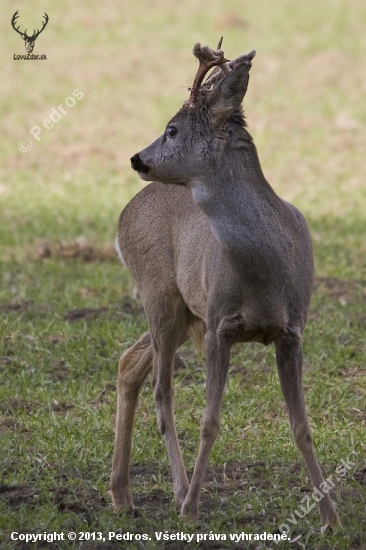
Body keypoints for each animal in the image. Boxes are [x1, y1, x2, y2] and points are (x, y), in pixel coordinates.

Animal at [111, 41, 340, 528]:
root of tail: (124, 215)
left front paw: (330, 516)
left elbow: (302, 426)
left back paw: (122, 494)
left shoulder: (292, 330)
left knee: (130, 362)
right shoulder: (220, 324)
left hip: (183, 312)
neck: (266, 269)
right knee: (162, 391)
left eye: (172, 129)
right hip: (160, 294)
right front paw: (193, 508)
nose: (137, 158)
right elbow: (209, 421)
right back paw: (177, 494)